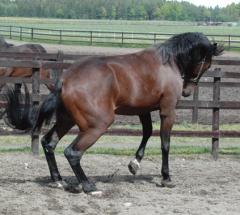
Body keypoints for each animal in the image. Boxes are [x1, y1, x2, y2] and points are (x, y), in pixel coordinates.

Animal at [5, 31, 223, 193]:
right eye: (205, 63)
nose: (187, 91)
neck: (166, 63)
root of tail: (65, 81)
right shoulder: (167, 110)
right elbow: (165, 143)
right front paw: (166, 177)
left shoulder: (142, 109)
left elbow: (147, 132)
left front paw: (134, 164)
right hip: (97, 125)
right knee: (72, 152)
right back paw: (88, 186)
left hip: (67, 120)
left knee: (49, 143)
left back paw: (59, 180)